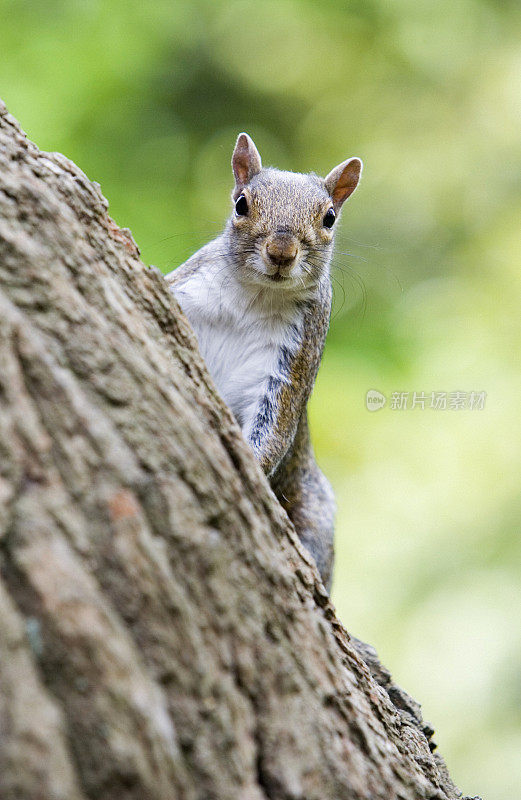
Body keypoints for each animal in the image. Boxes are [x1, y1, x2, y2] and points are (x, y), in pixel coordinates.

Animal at [167, 134, 362, 592]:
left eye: (329, 217)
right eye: (241, 204)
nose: (281, 251)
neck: (255, 295)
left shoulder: (291, 361)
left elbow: (274, 427)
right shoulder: (183, 291)